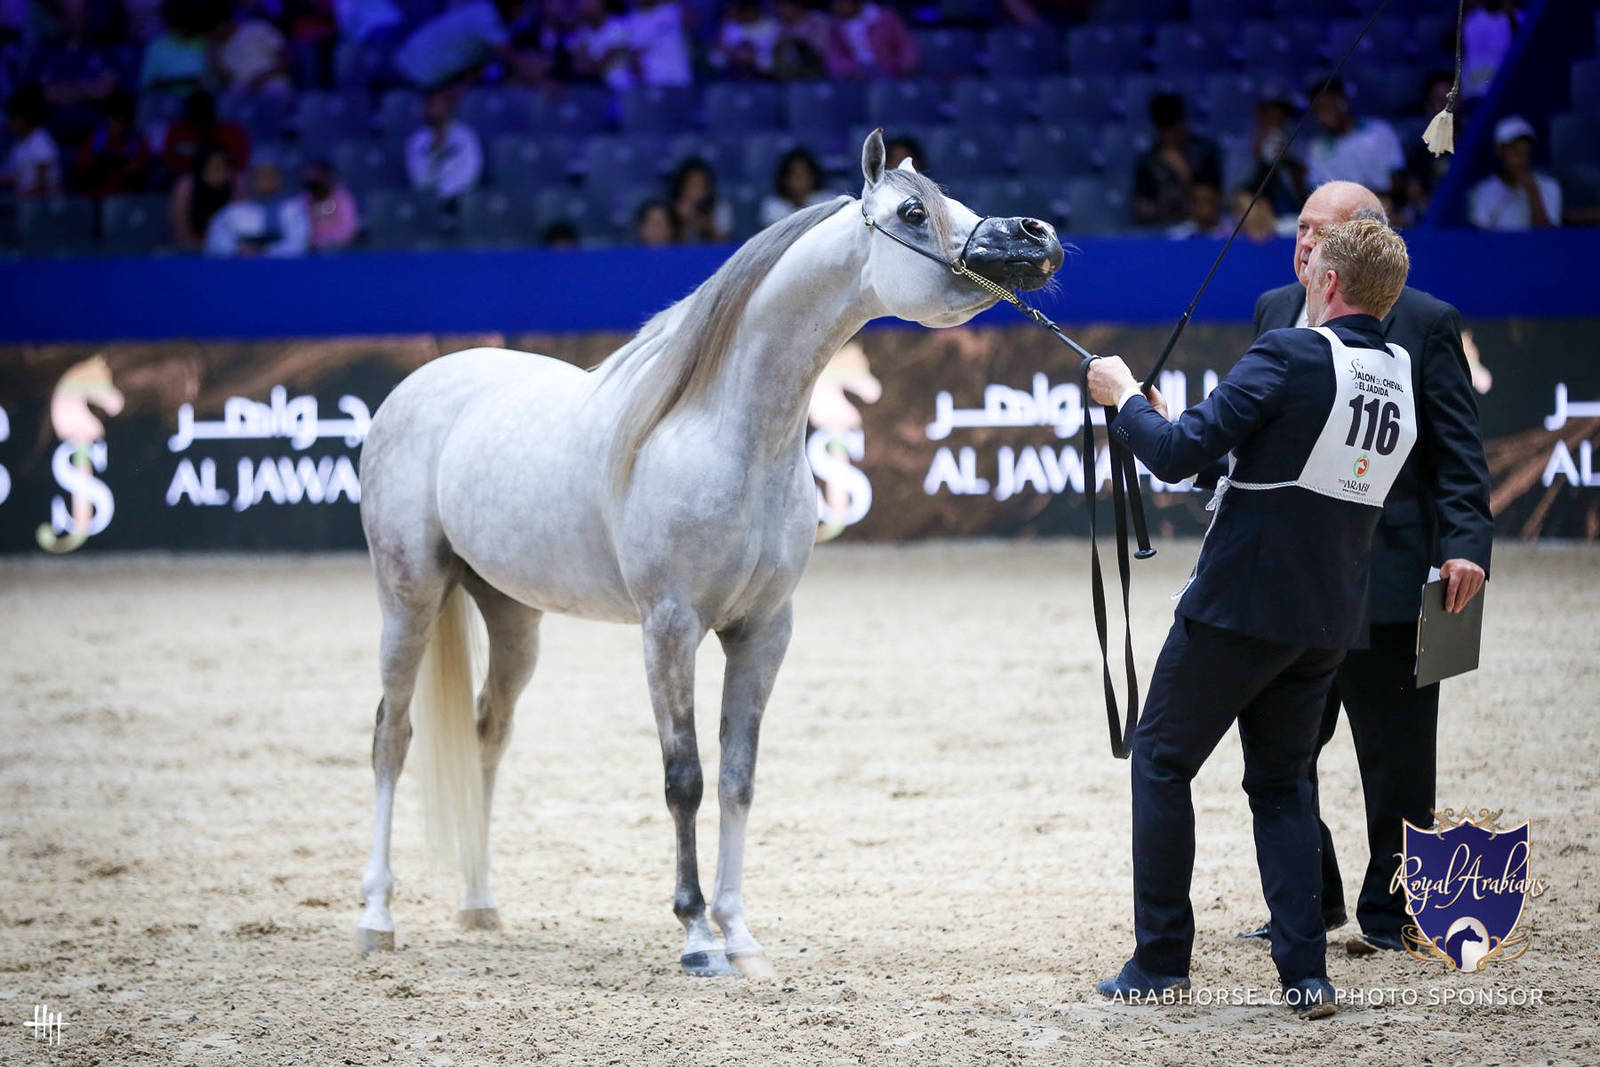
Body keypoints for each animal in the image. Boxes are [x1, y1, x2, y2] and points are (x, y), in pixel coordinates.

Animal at [355, 129, 1063, 976]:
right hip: (408, 597)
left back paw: (479, 902)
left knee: (487, 733)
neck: (729, 433)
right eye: (913, 211)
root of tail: (419, 386)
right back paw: (376, 915)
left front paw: (740, 932)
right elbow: (684, 778)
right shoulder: (670, 627)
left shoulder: (763, 630)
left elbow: (737, 777)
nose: (1036, 234)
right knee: (391, 737)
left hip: (512, 614)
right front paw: (695, 933)